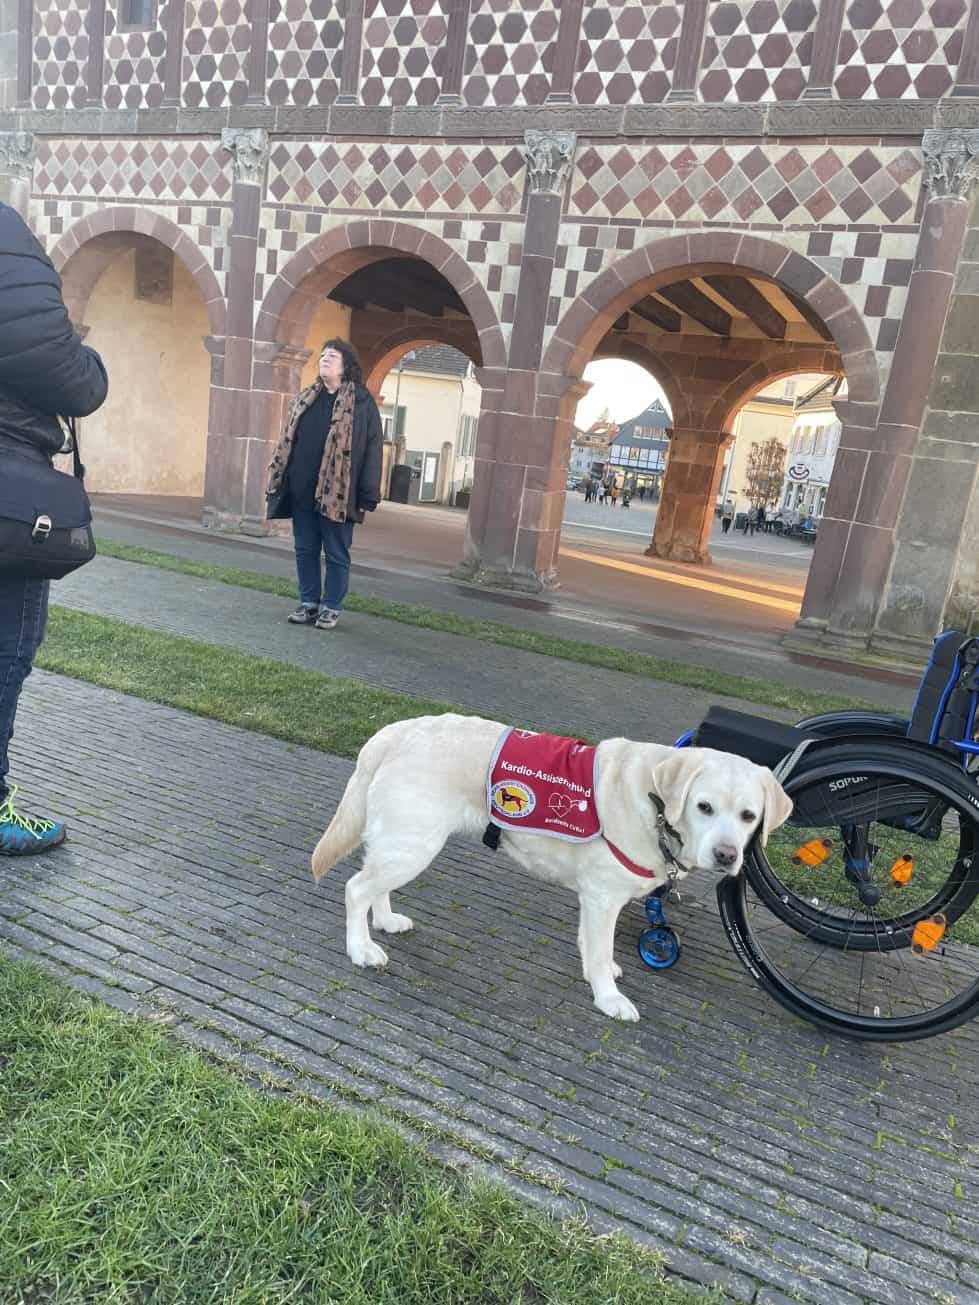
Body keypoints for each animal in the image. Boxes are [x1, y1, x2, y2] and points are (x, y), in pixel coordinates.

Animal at [314, 715, 798, 1017]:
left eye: (749, 816)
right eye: (704, 807)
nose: (727, 855)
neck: (655, 802)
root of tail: (395, 731)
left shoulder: (594, 898)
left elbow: (592, 945)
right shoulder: (604, 896)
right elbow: (600, 951)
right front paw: (608, 998)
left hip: (404, 842)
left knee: (374, 883)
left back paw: (385, 921)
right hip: (414, 843)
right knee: (356, 888)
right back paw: (361, 949)